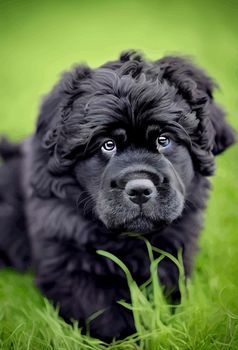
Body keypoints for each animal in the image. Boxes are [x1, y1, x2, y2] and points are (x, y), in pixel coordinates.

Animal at [0, 51, 234, 340]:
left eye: (164, 140)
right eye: (107, 145)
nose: (140, 190)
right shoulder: (68, 255)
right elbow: (101, 310)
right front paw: (126, 338)